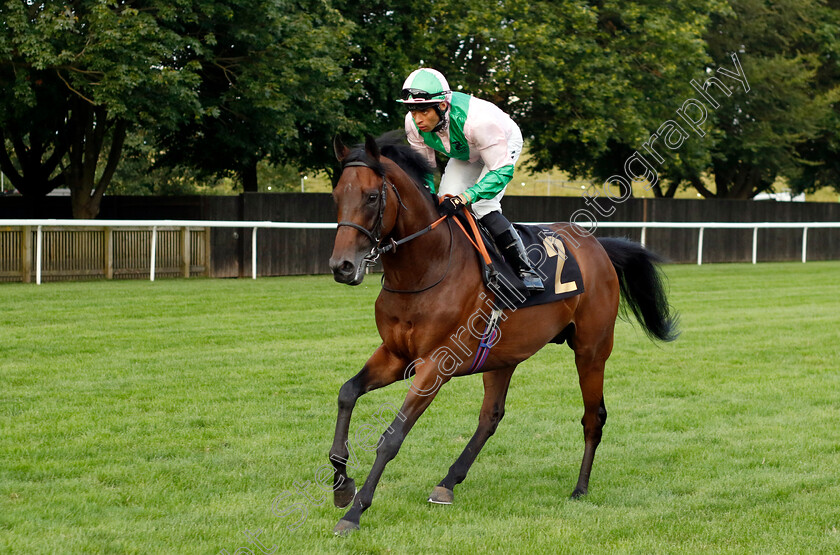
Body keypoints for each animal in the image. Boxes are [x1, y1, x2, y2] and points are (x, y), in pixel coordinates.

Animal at [326, 134, 676, 536]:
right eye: (336, 195)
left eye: (371, 197)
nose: (342, 266)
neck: (426, 268)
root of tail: (597, 246)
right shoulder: (396, 355)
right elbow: (347, 393)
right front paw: (342, 486)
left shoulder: (435, 365)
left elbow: (391, 437)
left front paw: (355, 511)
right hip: (503, 355)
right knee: (491, 416)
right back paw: (447, 483)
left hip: (591, 350)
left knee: (594, 416)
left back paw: (580, 487)